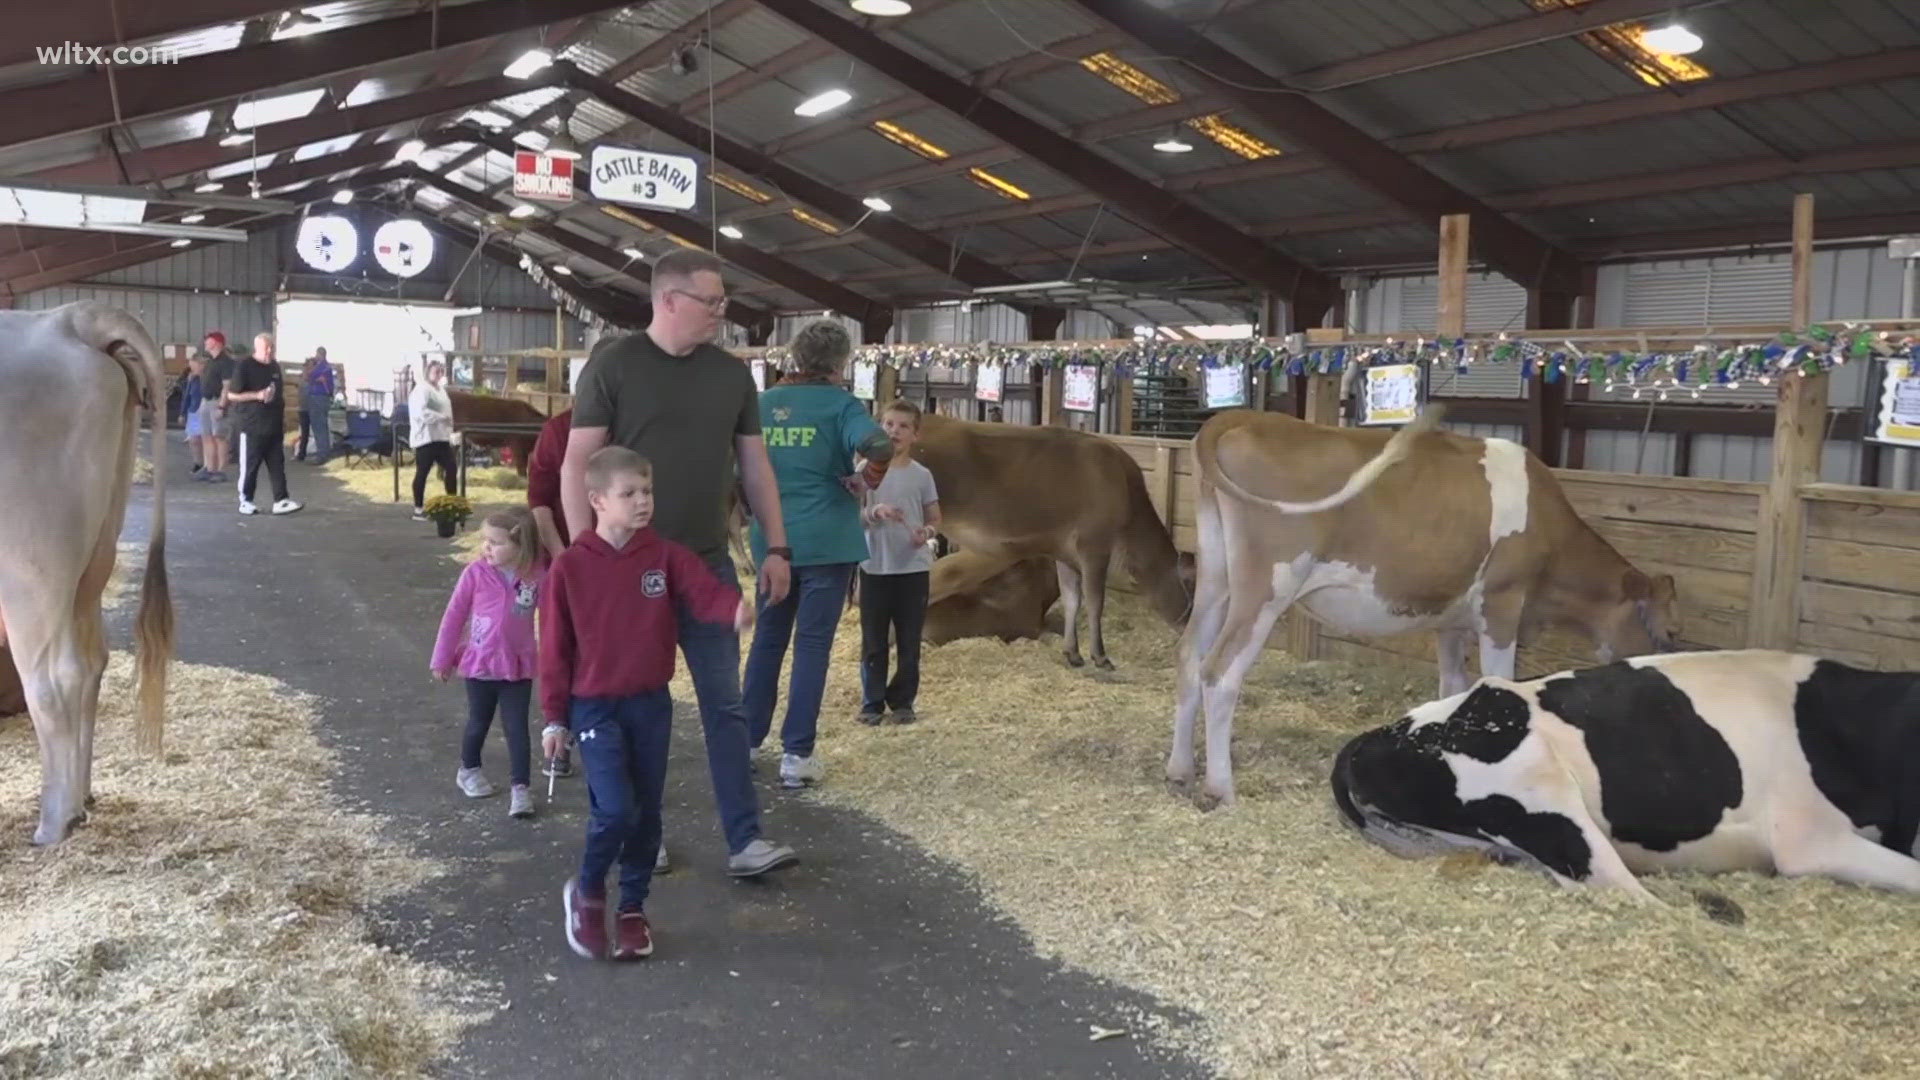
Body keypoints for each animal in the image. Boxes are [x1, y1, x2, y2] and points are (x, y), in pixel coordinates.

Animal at [0, 297, 174, 845]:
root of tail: (69, 317)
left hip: (30, 563)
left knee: (56, 676)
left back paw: (56, 820)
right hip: (92, 556)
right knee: (93, 661)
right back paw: (83, 797)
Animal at [910, 411, 1190, 664]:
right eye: (1192, 589)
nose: (1188, 627)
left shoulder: (1064, 551)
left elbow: (1072, 600)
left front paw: (1073, 653)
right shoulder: (1094, 545)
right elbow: (1094, 601)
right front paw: (1100, 656)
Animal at [1159, 405, 1674, 807]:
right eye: (1667, 634)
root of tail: (1243, 417)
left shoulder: (1450, 620)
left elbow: (1453, 687)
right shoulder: (1502, 602)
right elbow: (1499, 682)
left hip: (1216, 579)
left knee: (1188, 656)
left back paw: (1180, 769)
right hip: (1269, 584)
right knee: (1219, 671)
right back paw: (1220, 787)